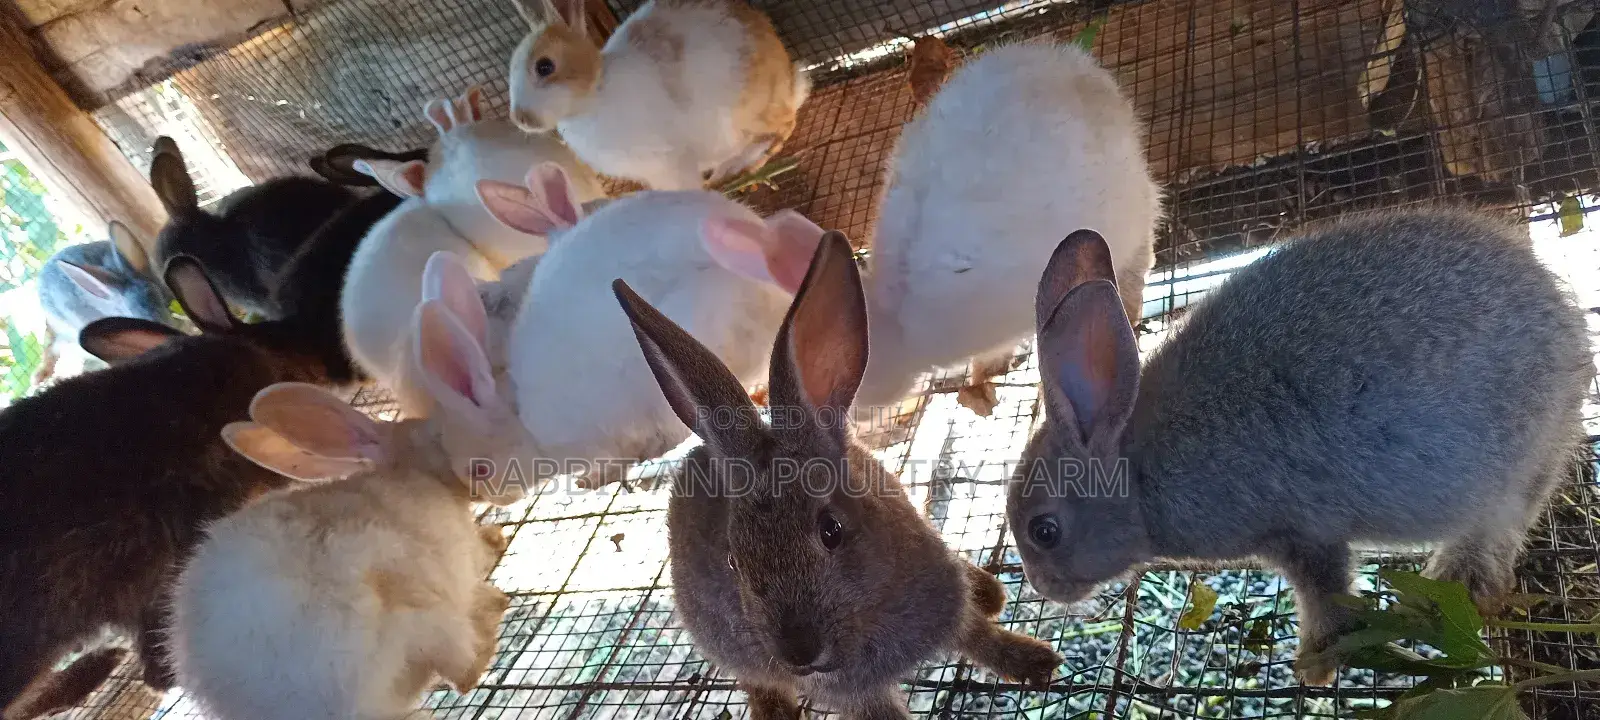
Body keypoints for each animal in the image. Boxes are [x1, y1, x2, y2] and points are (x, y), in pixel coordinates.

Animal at [169, 295, 527, 720]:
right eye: (436, 437)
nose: (489, 494)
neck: (411, 471)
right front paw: (495, 540)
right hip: (421, 615)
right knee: (464, 668)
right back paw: (493, 609)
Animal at [507, 0, 809, 191]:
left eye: (544, 66)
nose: (520, 118)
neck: (594, 95)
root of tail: (790, 81)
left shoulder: (670, 162)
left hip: (747, 111)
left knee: (782, 129)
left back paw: (736, 169)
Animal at [613, 231, 1062, 720]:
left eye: (832, 531)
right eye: (734, 561)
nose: (799, 653)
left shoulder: (947, 608)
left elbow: (980, 638)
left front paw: (1036, 661)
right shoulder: (857, 695)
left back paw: (988, 589)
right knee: (756, 678)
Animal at [1006, 209, 1594, 686]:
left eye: (1044, 531)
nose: (1043, 587)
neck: (1138, 470)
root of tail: (1570, 329)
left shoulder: (1303, 531)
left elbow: (1325, 593)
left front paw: (1314, 663)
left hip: (1515, 460)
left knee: (1504, 520)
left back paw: (1455, 580)